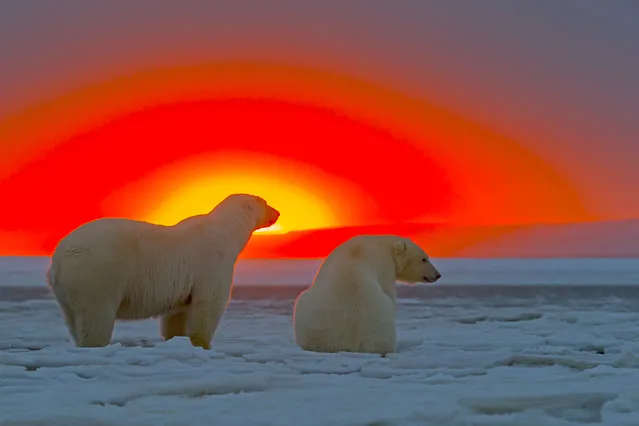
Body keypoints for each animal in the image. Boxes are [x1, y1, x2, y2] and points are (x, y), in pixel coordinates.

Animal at [46, 193, 282, 350]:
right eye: (266, 203)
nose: (278, 212)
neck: (227, 232)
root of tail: (58, 260)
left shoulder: (184, 283)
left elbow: (177, 314)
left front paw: (176, 340)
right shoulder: (211, 264)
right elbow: (208, 306)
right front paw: (203, 345)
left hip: (67, 292)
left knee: (73, 320)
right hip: (97, 275)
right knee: (96, 317)